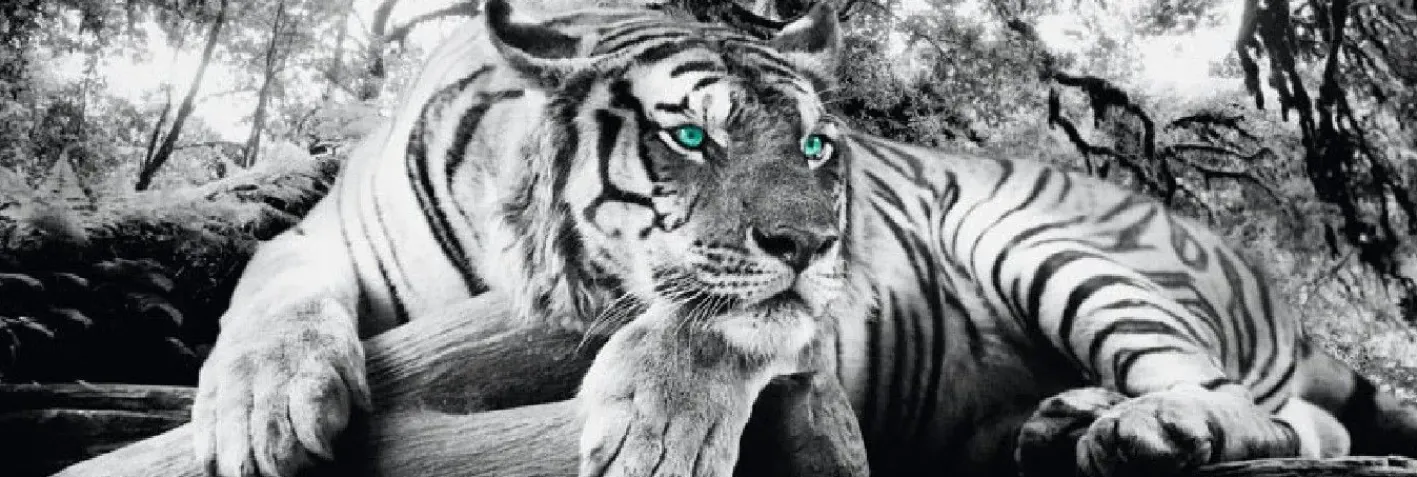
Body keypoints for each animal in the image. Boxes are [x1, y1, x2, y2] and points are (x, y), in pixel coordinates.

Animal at [188, 1, 1417, 477]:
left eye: (822, 145)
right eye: (690, 134)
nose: (822, 243)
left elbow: (717, 322)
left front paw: (655, 431)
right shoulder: (321, 236)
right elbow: (266, 286)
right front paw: (261, 411)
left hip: (1048, 241)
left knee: (1256, 408)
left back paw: (1148, 426)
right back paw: (1063, 417)